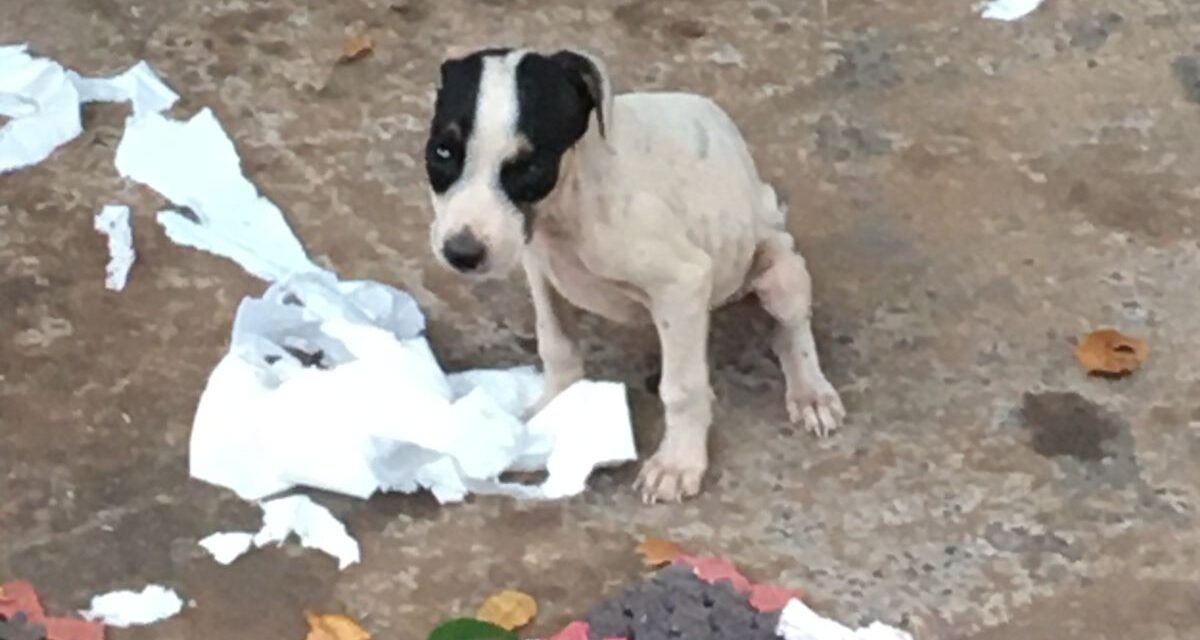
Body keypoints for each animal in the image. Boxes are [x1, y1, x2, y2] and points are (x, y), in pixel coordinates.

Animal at [422, 47, 844, 501]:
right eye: (442, 152)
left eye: (530, 166)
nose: (461, 253)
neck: (567, 207)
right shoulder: (539, 266)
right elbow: (556, 345)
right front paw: (551, 410)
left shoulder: (683, 282)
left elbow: (682, 388)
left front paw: (677, 462)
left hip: (779, 271)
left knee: (791, 331)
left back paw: (811, 392)